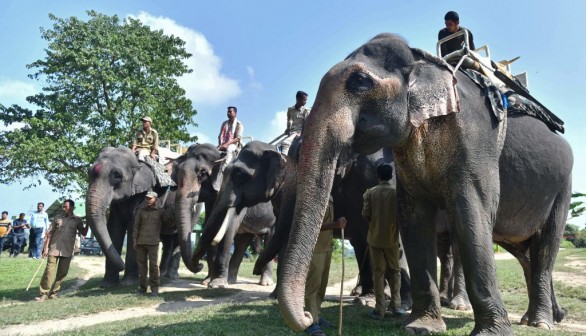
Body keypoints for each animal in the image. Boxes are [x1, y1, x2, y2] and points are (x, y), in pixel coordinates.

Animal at [85, 147, 178, 286]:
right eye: (89, 173)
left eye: (117, 176)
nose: (121, 265)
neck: (138, 163)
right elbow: (114, 227)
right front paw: (107, 285)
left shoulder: (145, 193)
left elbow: (134, 225)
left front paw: (128, 284)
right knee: (167, 241)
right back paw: (162, 275)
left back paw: (172, 276)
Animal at [278, 32, 572, 336]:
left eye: (360, 81)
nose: (308, 318)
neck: (422, 59)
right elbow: (414, 217)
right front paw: (422, 326)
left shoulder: (476, 140)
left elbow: (473, 213)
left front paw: (490, 333)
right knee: (526, 253)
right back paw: (546, 317)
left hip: (563, 187)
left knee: (545, 246)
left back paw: (540, 321)